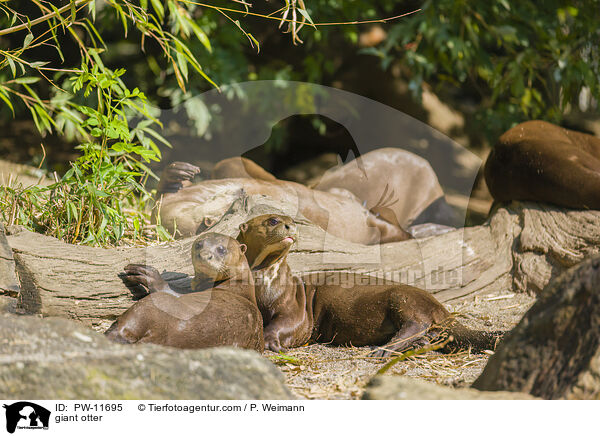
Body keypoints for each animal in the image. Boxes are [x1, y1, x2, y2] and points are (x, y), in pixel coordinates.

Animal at [105, 233, 262, 352]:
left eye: (221, 249)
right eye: (199, 244)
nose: (205, 255)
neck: (237, 282)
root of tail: (163, 334)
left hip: (149, 306)